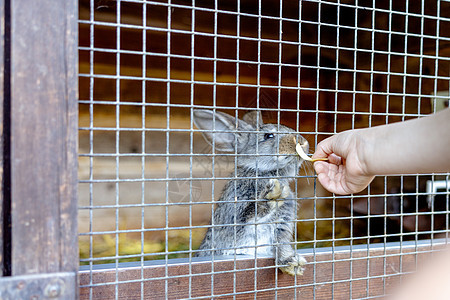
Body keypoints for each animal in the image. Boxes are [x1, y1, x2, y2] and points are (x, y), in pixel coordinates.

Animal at [192, 109, 308, 276]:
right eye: (268, 136)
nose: (302, 142)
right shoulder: (235, 216)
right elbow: (252, 214)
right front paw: (273, 195)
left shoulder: (282, 225)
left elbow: (281, 244)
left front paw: (292, 263)